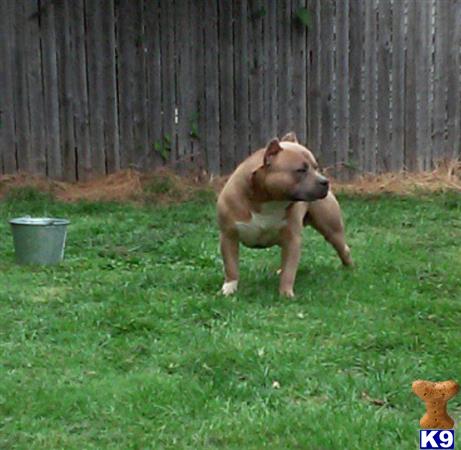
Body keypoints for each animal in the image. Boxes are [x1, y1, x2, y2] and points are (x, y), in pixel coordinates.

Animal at [217, 132, 350, 298]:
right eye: (301, 170)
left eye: (316, 167)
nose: (325, 181)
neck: (269, 200)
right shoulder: (228, 237)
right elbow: (231, 266)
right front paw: (229, 289)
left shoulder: (292, 239)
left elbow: (289, 271)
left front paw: (286, 294)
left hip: (332, 230)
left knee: (343, 248)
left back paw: (349, 269)